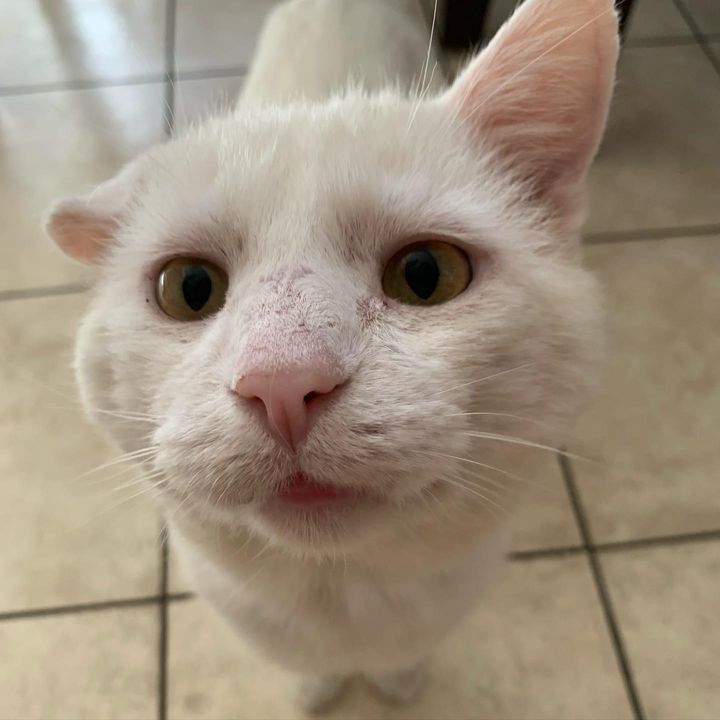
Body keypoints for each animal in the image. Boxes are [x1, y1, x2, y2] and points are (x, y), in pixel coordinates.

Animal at [46, 0, 620, 712]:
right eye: (189, 288)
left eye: (427, 274)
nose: (283, 381)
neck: (340, 598)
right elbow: (307, 666)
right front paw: (315, 689)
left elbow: (403, 655)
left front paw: (398, 682)